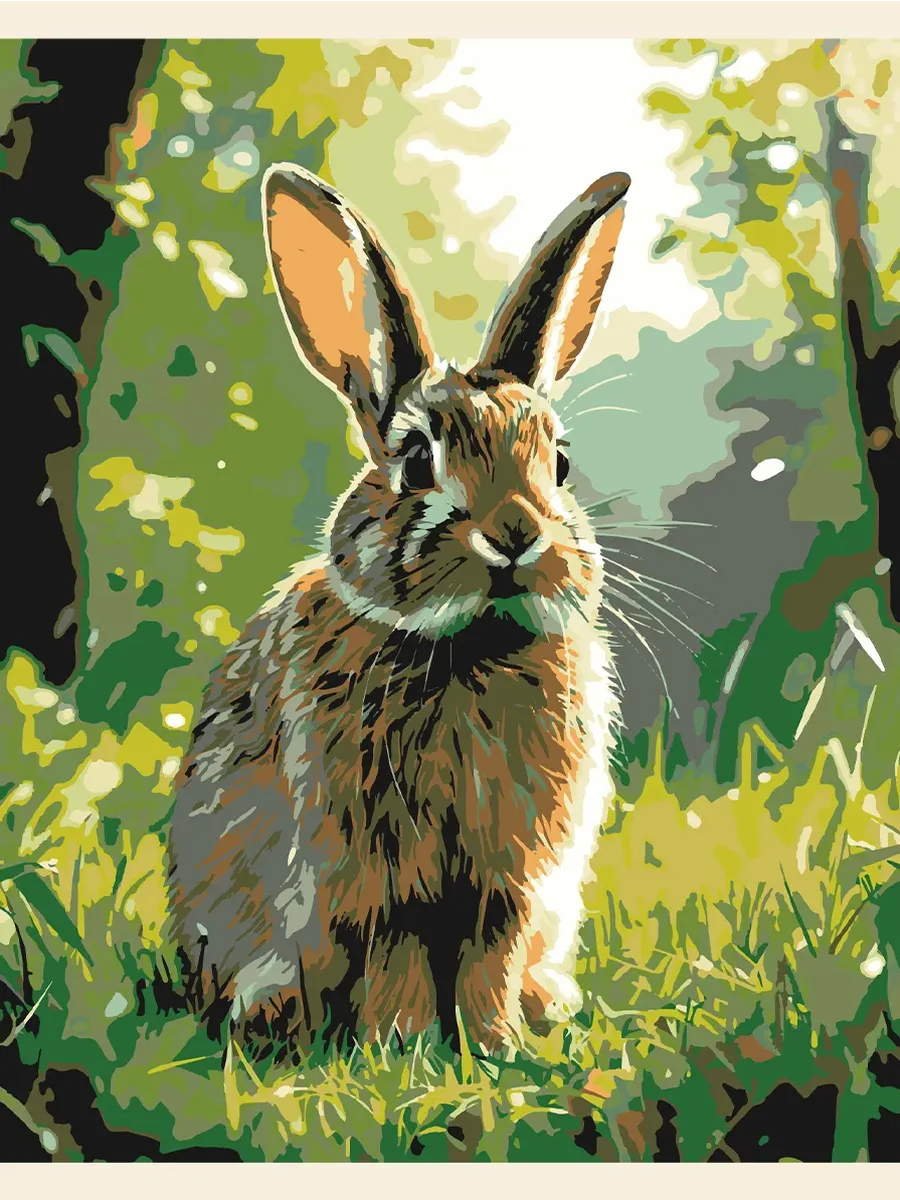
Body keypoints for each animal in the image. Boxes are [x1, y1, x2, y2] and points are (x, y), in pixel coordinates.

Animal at [166, 160, 631, 1055]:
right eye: (416, 460)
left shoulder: (507, 879)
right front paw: (403, 1050)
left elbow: (491, 956)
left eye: (557, 464)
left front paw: (494, 1050)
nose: (514, 535)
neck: (469, 648)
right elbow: (397, 958)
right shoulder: (375, 877)